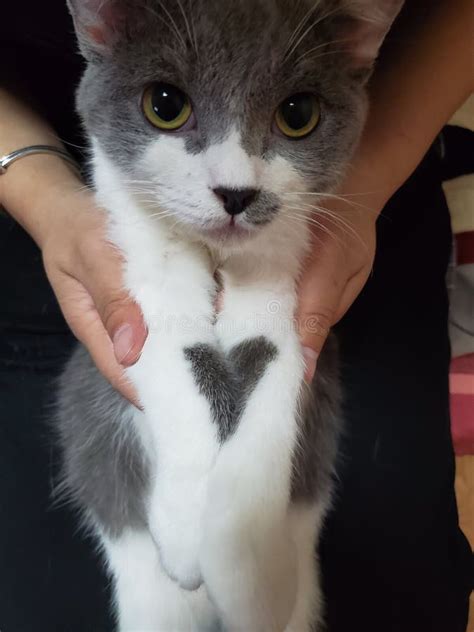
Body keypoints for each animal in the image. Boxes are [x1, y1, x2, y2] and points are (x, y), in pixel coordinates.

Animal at [56, 2, 404, 628]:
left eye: (298, 115)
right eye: (165, 105)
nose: (236, 192)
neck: (220, 257)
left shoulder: (291, 296)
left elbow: (270, 367)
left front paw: (250, 567)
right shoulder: (141, 288)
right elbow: (173, 355)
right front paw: (187, 527)